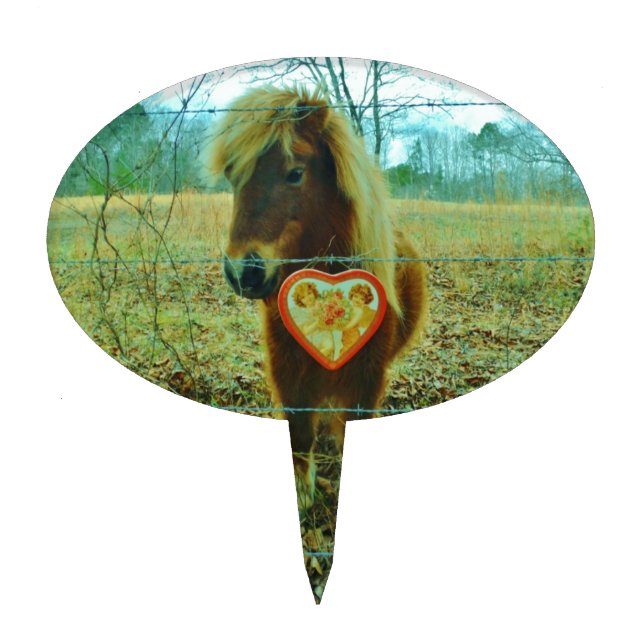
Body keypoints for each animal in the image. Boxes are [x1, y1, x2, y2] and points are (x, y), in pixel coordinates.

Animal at [210, 85, 427, 493]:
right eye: (233, 176)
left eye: (295, 173)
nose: (243, 272)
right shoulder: (288, 373)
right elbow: (298, 437)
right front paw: (304, 494)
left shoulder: (367, 380)